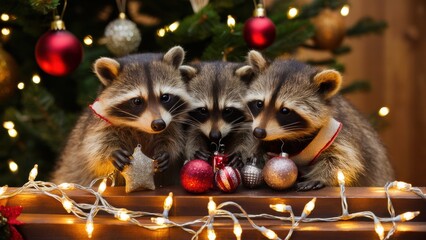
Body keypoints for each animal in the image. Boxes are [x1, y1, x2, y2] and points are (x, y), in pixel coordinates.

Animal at [51, 46, 190, 187]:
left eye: (165, 97)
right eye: (137, 101)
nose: (158, 124)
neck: (141, 129)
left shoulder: (172, 124)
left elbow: (173, 139)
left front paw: (166, 152)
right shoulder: (98, 124)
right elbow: (95, 148)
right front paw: (110, 153)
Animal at [241, 51, 394, 191]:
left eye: (285, 111)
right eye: (259, 104)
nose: (259, 132)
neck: (290, 136)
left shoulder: (339, 130)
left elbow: (344, 159)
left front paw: (322, 177)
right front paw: (255, 152)